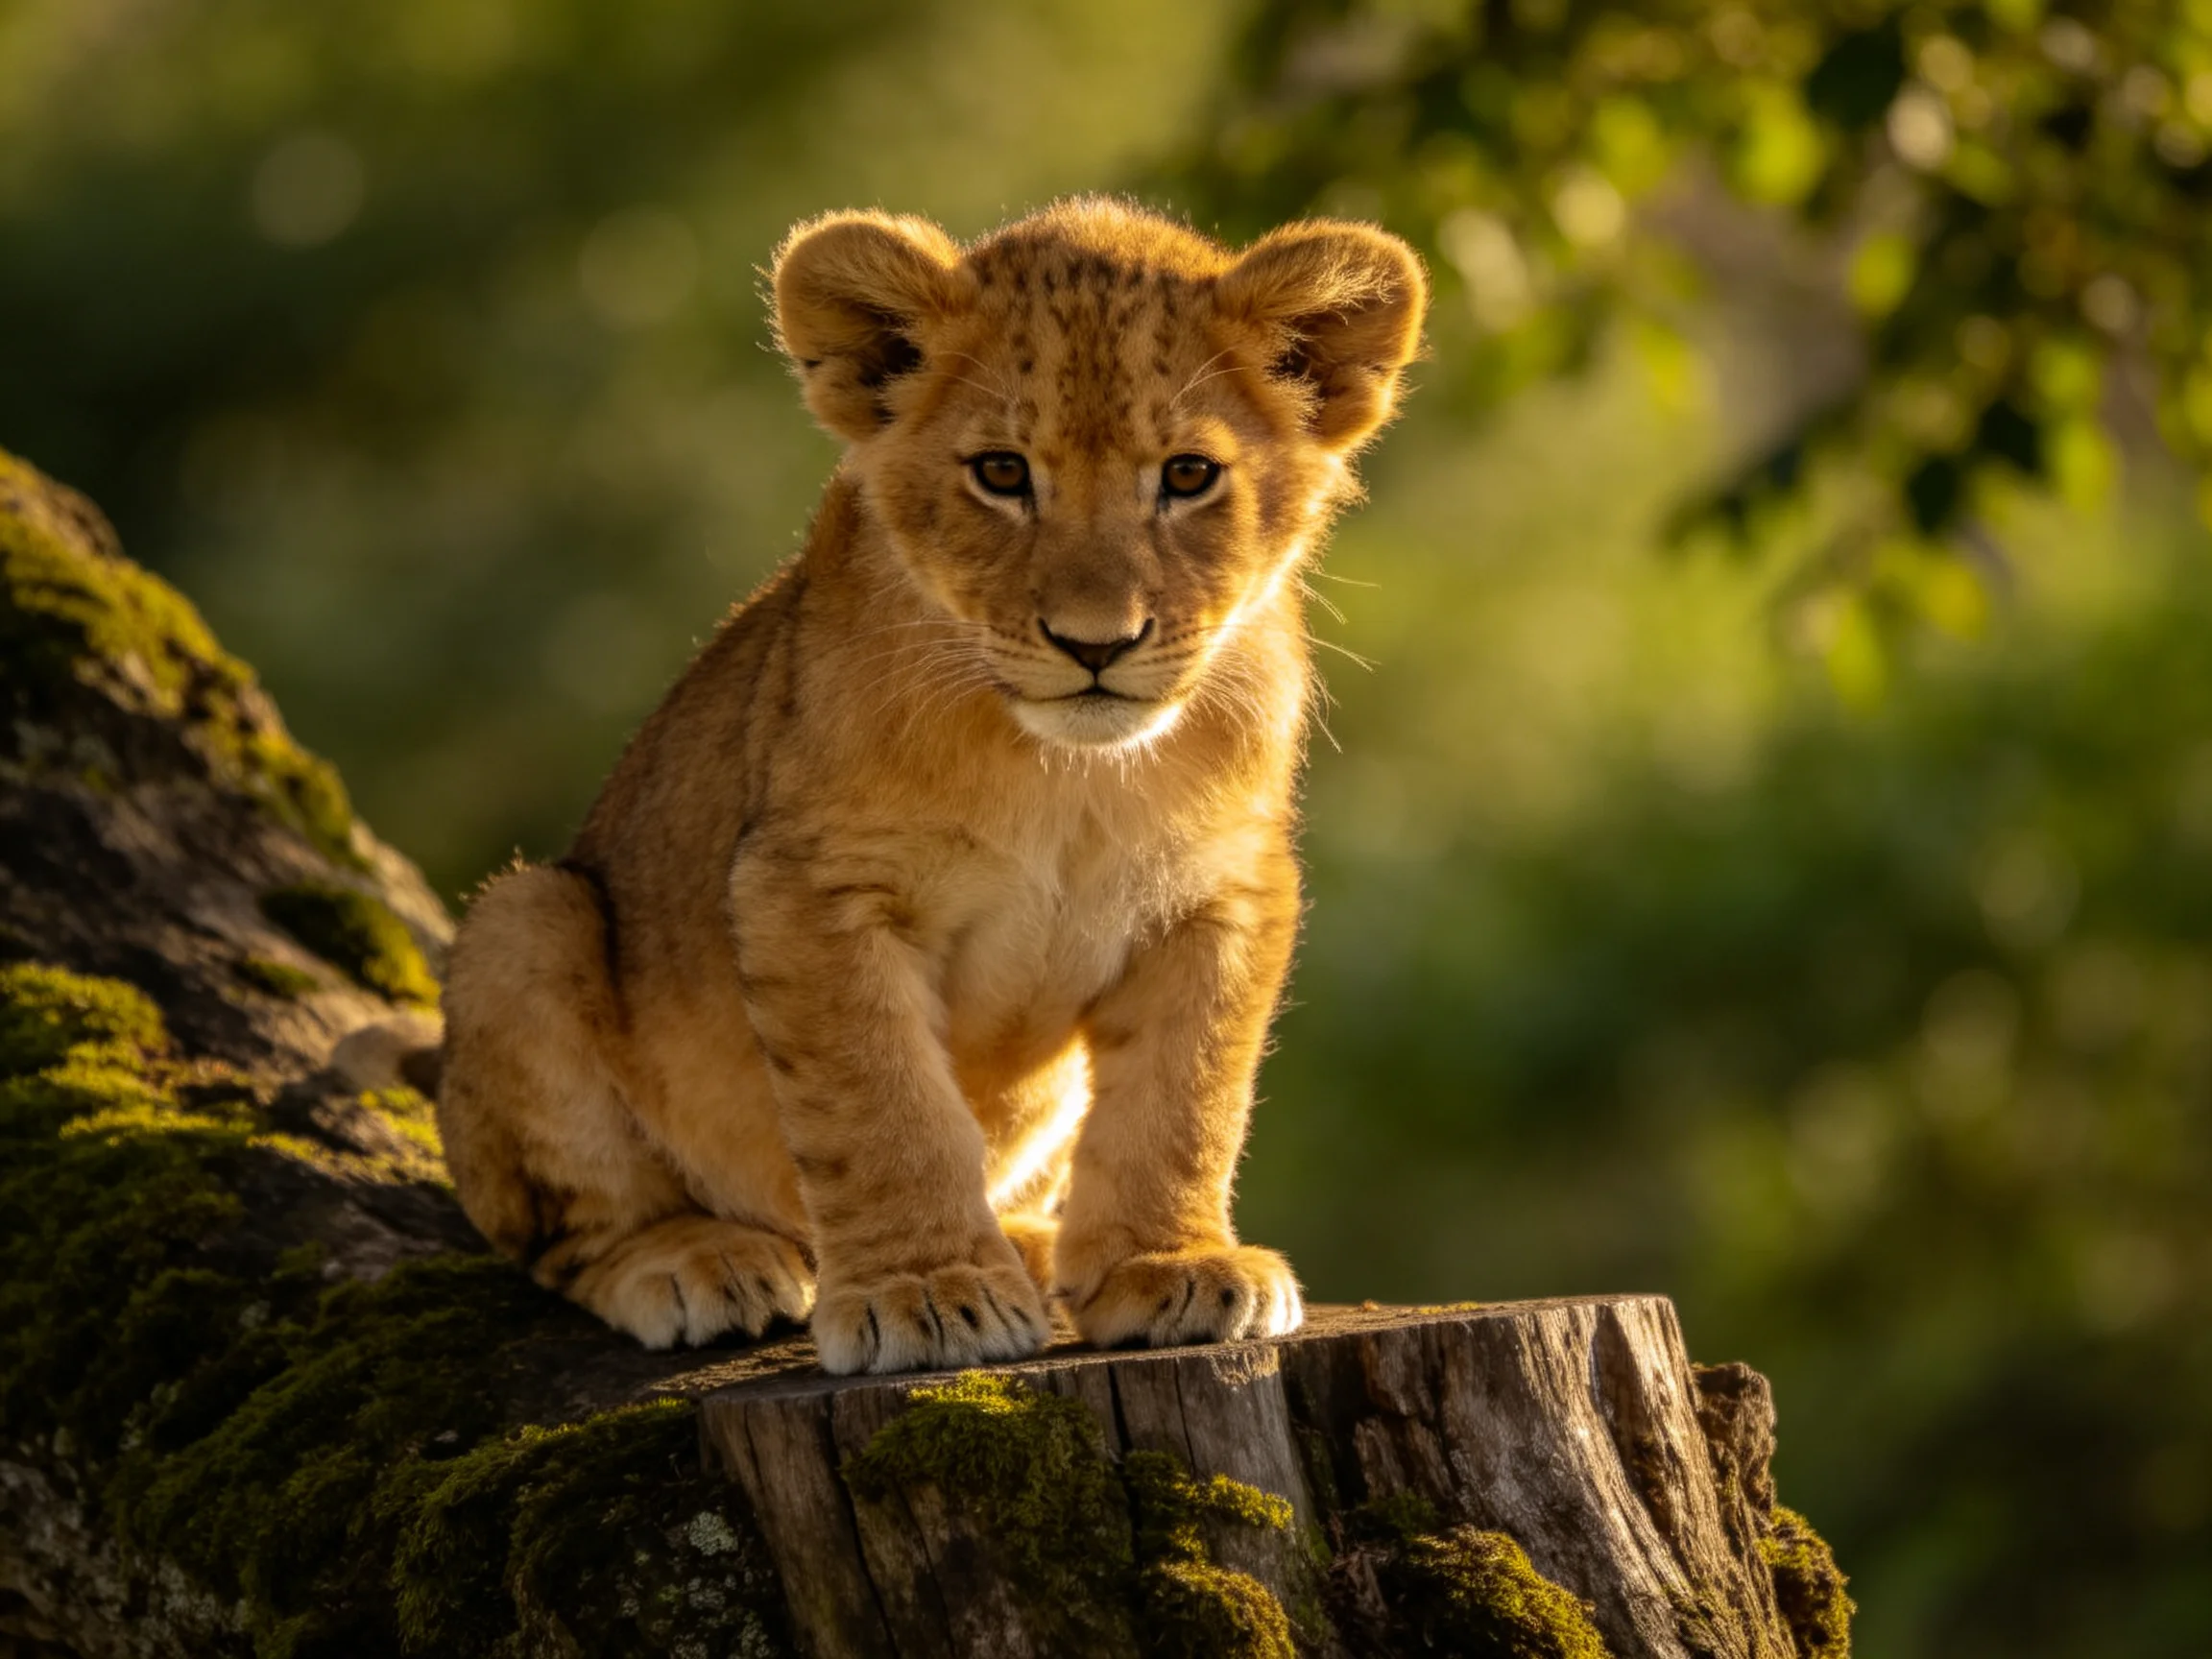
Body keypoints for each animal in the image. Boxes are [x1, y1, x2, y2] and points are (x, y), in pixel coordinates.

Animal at [434, 197, 1427, 1375]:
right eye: (1001, 473)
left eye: (1188, 477)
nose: (1097, 644)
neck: (1065, 772)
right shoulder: (809, 886)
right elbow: (884, 1106)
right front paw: (928, 1291)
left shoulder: (1224, 889)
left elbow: (1184, 1096)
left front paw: (1166, 1265)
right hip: (525, 919)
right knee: (561, 1232)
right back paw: (698, 1259)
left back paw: (1039, 1249)